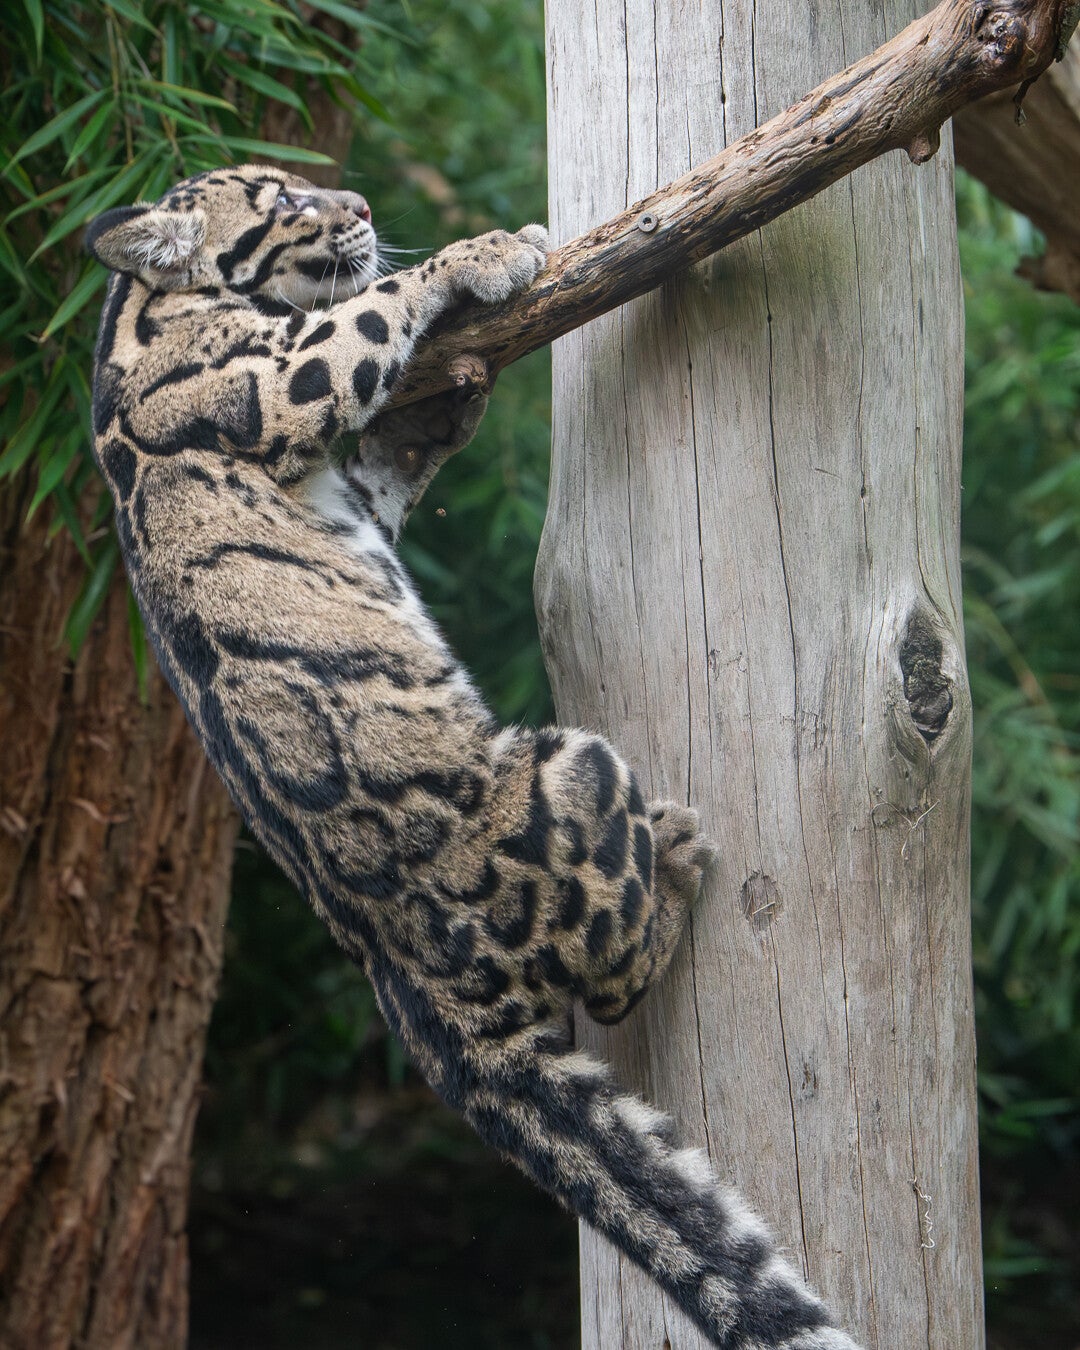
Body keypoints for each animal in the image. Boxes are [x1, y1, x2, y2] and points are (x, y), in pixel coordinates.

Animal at [85, 164, 862, 1350]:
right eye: (282, 200)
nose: (356, 203)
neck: (138, 319)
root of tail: (399, 972)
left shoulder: (355, 486)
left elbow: (388, 460)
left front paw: (451, 402)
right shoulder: (274, 380)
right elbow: (368, 312)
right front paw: (491, 251)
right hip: (576, 767)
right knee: (620, 973)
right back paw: (678, 854)